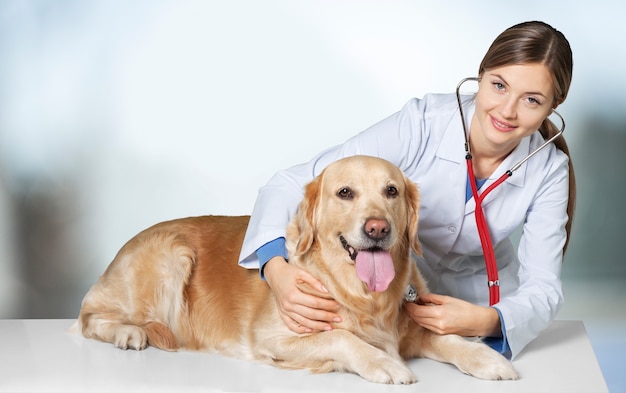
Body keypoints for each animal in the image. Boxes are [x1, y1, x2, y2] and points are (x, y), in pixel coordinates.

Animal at [74, 155, 516, 382]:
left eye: (392, 190)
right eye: (344, 192)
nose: (378, 228)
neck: (363, 296)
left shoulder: (411, 324)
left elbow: (446, 337)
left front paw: (487, 358)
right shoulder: (273, 337)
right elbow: (342, 338)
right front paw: (383, 362)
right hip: (172, 255)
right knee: (88, 316)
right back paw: (129, 333)